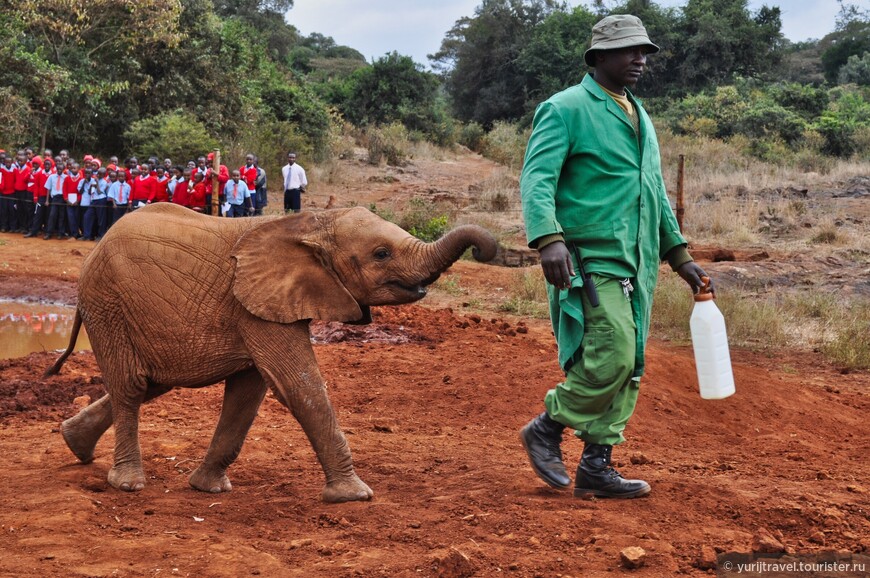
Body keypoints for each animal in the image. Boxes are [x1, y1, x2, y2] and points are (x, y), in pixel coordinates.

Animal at [49, 204, 498, 500]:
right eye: (381, 254)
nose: (485, 250)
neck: (313, 223)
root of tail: (95, 249)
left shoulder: (260, 305)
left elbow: (248, 395)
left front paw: (208, 488)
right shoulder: (254, 305)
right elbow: (296, 385)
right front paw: (354, 495)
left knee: (151, 382)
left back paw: (74, 445)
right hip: (107, 301)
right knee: (131, 384)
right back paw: (127, 483)